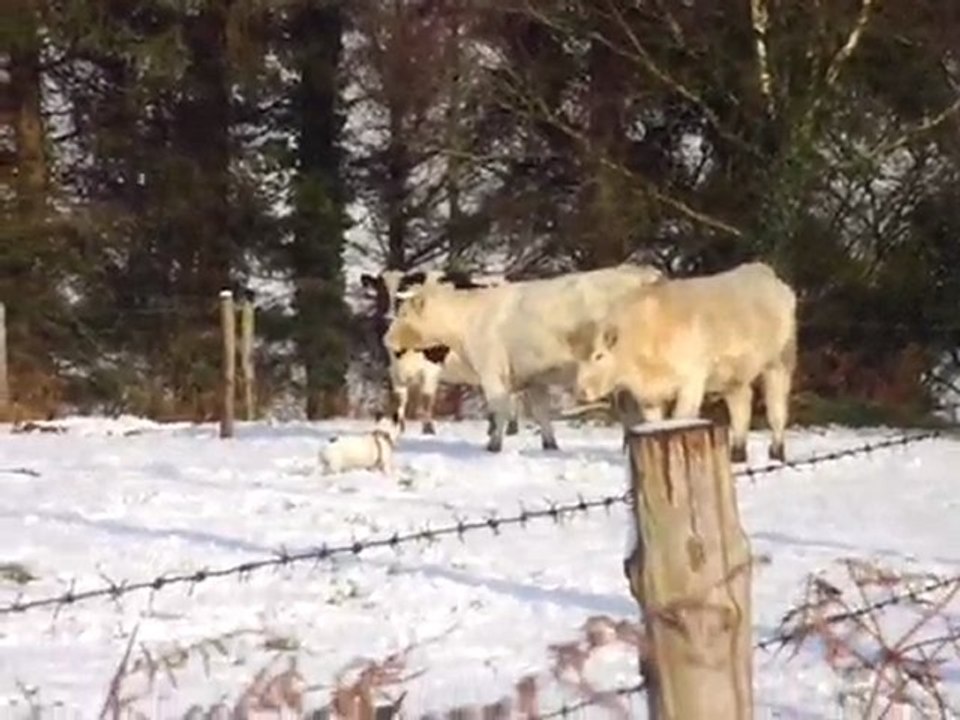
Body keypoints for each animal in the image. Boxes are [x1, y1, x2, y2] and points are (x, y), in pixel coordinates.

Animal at [360, 269, 521, 436]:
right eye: (380, 293)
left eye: (402, 293)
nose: (388, 317)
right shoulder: (395, 368)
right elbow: (399, 398)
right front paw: (399, 428)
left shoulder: (432, 366)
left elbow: (426, 397)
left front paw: (428, 430)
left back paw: (511, 428)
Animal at [382, 263, 665, 452]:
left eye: (404, 313)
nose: (386, 338)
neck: (470, 316)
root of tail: (643, 272)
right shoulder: (533, 378)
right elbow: (541, 412)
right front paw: (550, 445)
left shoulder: (492, 371)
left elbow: (498, 408)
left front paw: (493, 445)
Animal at [568, 261, 797, 463]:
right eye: (577, 359)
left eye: (599, 355)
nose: (581, 391)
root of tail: (763, 271)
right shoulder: (648, 397)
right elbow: (655, 423)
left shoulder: (691, 381)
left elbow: (680, 418)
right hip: (733, 376)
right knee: (741, 406)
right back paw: (737, 454)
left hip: (779, 362)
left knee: (776, 408)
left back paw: (777, 452)